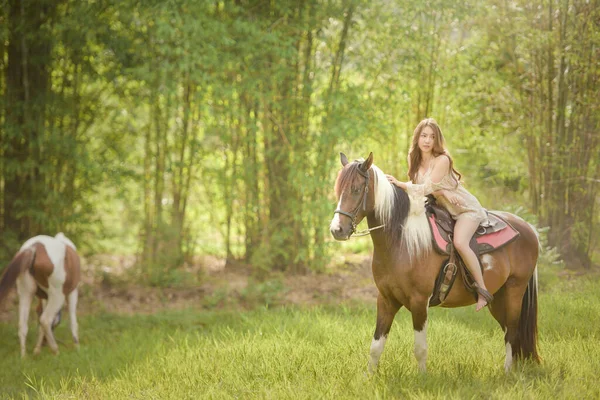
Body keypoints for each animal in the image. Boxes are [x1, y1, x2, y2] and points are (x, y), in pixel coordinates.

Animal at [330, 152, 540, 372]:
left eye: (356, 189)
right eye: (338, 189)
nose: (337, 230)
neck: (401, 241)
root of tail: (528, 228)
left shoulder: (419, 301)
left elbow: (420, 348)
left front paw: (422, 377)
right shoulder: (386, 299)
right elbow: (376, 346)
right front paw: (369, 376)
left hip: (514, 291)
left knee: (512, 331)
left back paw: (507, 372)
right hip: (498, 298)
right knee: (508, 331)